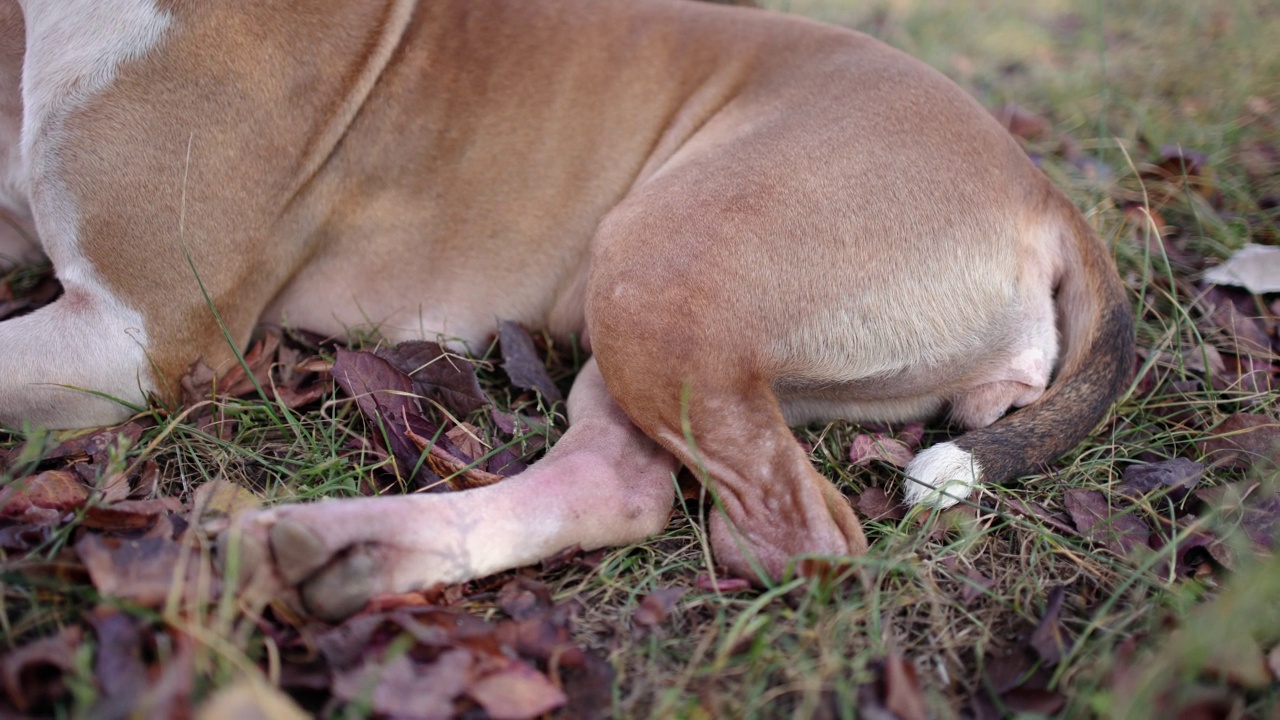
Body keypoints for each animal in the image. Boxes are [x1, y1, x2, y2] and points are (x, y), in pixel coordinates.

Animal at [0, 0, 1131, 617]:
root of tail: (1039, 186)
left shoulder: (132, 329)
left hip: (657, 269)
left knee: (795, 529)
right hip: (645, 319)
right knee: (616, 483)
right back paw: (352, 552)